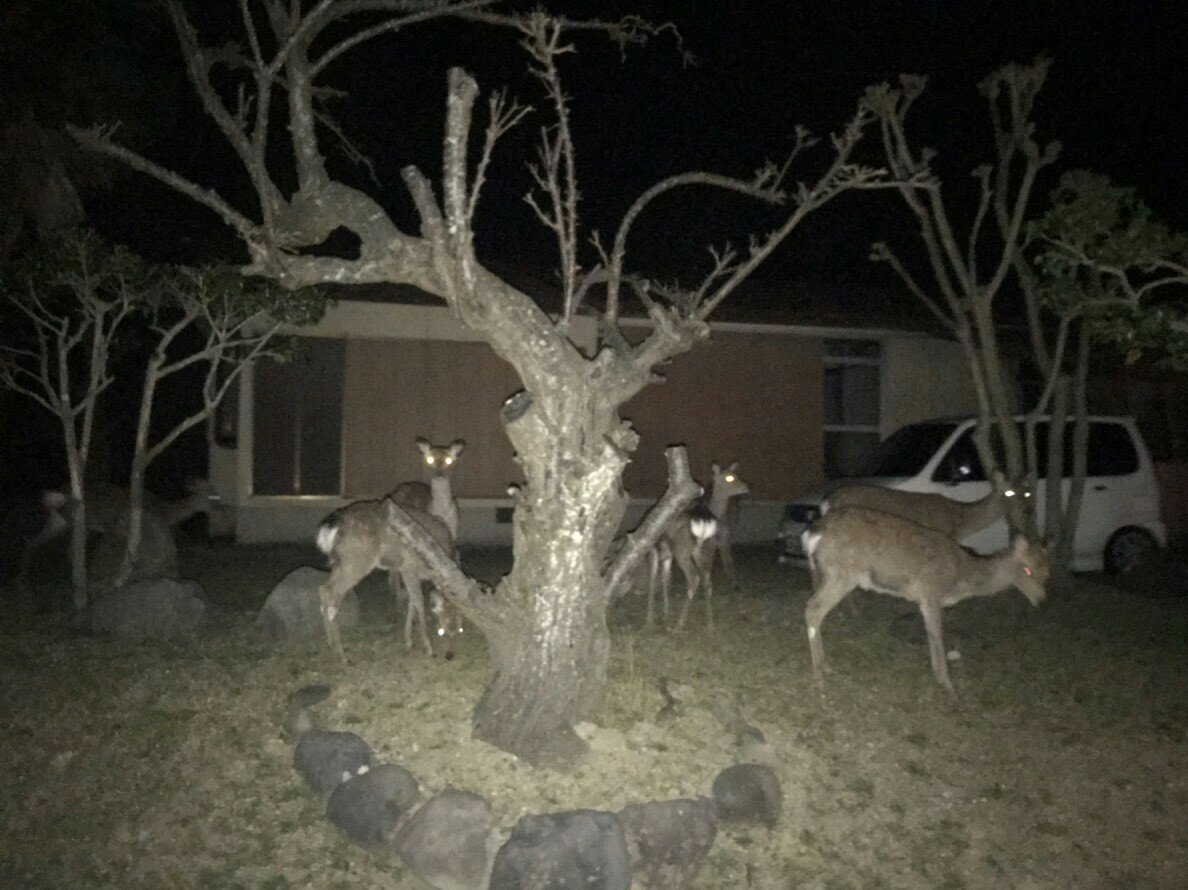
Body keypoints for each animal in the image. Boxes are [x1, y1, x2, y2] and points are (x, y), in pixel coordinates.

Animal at [315, 496, 463, 663]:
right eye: (442, 629)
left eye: (460, 629)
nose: (450, 655)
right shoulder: (409, 567)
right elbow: (418, 601)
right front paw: (428, 647)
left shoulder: (411, 573)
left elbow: (411, 602)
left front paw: (408, 641)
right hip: (357, 560)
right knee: (331, 594)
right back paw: (342, 655)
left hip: (341, 562)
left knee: (323, 589)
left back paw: (331, 644)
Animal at [648, 462, 750, 629]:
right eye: (729, 477)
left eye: (736, 475)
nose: (746, 487)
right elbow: (664, 579)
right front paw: (665, 612)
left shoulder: (654, 548)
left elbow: (654, 580)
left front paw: (651, 618)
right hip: (700, 549)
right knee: (707, 581)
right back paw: (710, 623)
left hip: (683, 550)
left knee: (694, 578)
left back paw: (679, 624)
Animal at [801, 506, 1049, 693]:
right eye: (1027, 570)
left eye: (1047, 570)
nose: (1042, 600)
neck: (960, 576)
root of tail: (812, 535)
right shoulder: (931, 592)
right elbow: (937, 633)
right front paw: (947, 683)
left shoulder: (925, 599)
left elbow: (930, 632)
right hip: (842, 573)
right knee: (813, 608)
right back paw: (819, 676)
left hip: (827, 573)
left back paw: (825, 667)